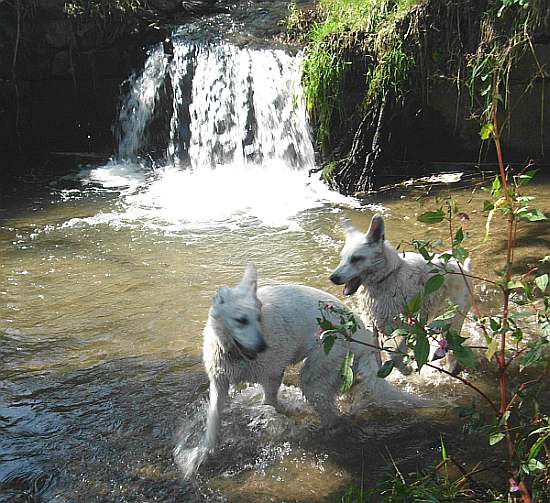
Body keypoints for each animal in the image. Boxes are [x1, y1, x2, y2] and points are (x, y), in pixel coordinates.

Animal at [176, 266, 384, 478]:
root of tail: (362, 333)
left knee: (332, 415)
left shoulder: (272, 378)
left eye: (258, 318)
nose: (262, 347)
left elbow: (268, 407)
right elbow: (213, 420)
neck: (236, 355)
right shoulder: (219, 384)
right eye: (241, 320)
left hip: (315, 377)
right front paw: (203, 454)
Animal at [330, 213, 472, 374]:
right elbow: (378, 355)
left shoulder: (407, 327)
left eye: (356, 259)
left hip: (452, 320)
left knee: (452, 350)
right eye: (343, 258)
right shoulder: (373, 327)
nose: (333, 278)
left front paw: (406, 369)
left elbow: (395, 355)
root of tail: (464, 269)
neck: (387, 278)